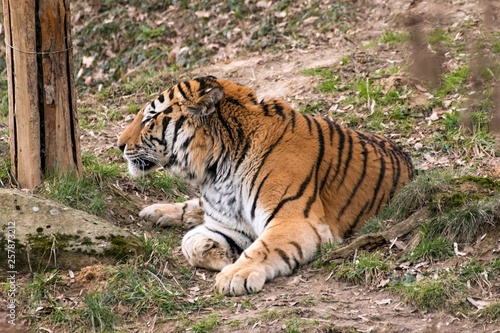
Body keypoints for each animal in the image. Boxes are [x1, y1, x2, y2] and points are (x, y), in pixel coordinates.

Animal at [117, 74, 414, 294]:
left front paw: (233, 274)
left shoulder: (295, 219)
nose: (119, 144)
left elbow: (263, 247)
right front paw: (219, 255)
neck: (217, 170)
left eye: (149, 118)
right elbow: (190, 242)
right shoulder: (232, 226)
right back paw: (155, 212)